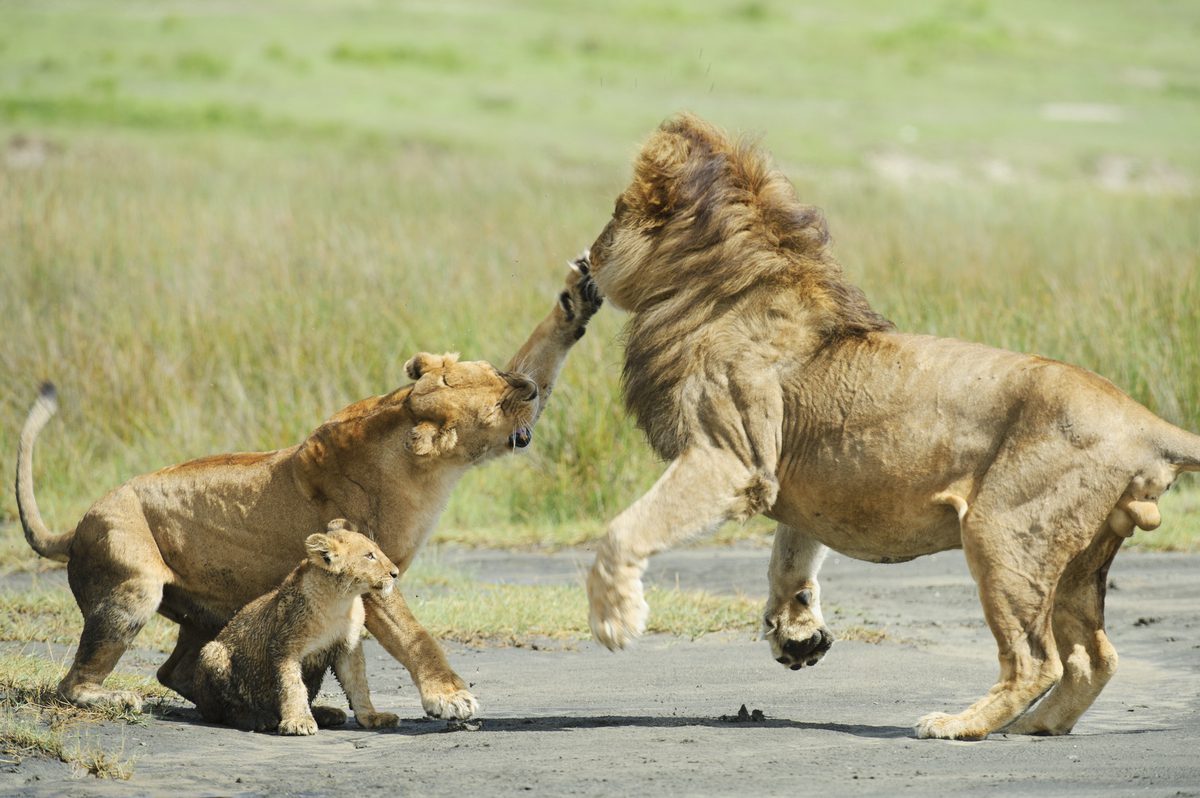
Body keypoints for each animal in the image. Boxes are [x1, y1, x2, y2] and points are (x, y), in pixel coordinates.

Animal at [194, 516, 400, 734]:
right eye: (369, 556)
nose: (395, 573)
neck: (341, 601)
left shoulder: (349, 649)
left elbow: (358, 685)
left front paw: (373, 717)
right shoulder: (285, 647)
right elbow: (293, 685)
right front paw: (298, 721)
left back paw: (326, 713)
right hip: (213, 652)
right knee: (224, 710)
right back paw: (257, 718)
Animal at [583, 117, 1200, 739]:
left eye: (614, 211)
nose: (587, 258)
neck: (718, 287)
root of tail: (1142, 419)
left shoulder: (730, 459)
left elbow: (621, 533)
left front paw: (615, 619)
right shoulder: (795, 482)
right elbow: (789, 558)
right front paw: (797, 632)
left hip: (1002, 530)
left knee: (1035, 659)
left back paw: (959, 724)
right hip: (1078, 559)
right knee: (1095, 658)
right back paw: (1035, 726)